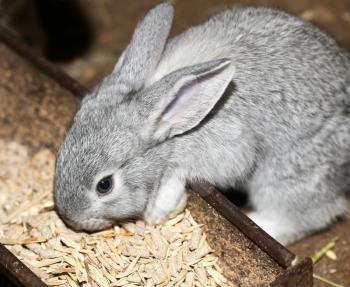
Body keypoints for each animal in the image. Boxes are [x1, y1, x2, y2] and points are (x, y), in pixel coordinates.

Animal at [54, 2, 350, 245]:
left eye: (105, 185)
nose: (72, 219)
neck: (171, 128)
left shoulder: (228, 148)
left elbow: (180, 172)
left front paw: (158, 210)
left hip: (290, 173)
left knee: (311, 212)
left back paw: (263, 224)